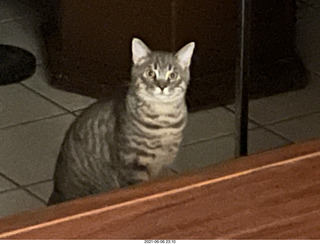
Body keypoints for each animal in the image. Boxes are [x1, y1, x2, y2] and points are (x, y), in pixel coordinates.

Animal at [47, 38, 195, 204]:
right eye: (151, 73)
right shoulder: (132, 164)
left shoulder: (165, 161)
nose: (162, 86)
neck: (163, 122)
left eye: (173, 75)